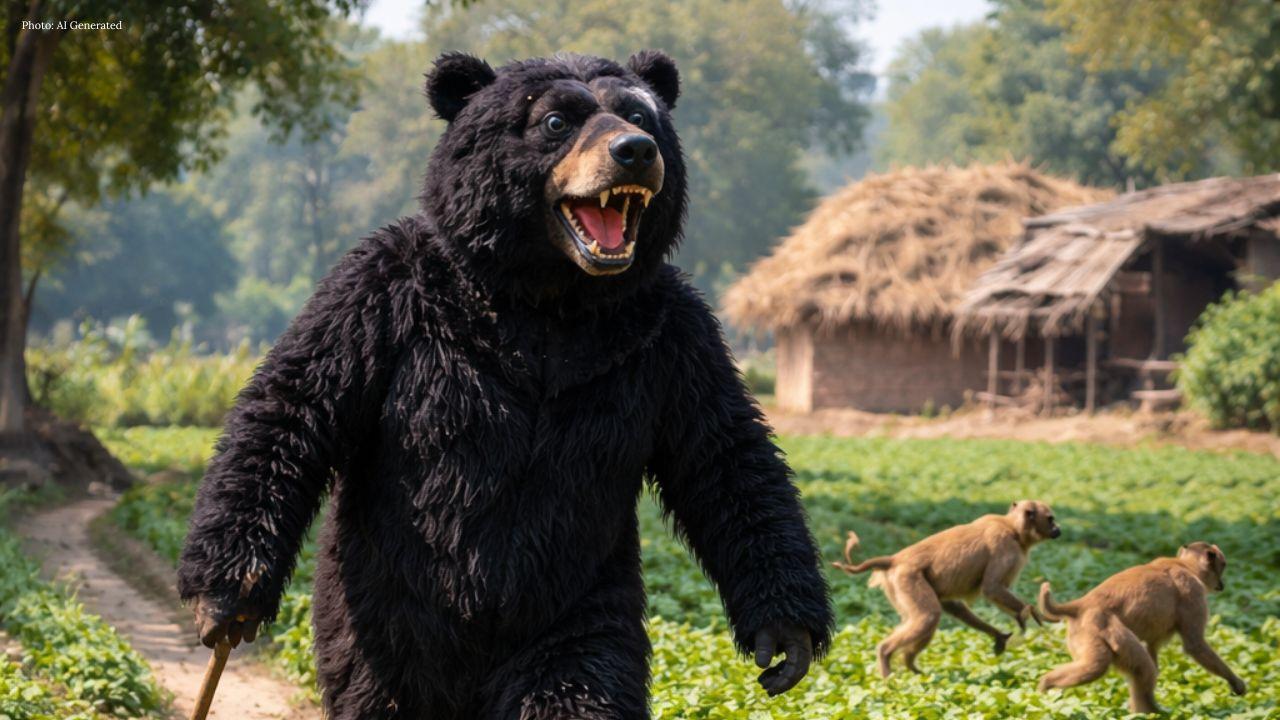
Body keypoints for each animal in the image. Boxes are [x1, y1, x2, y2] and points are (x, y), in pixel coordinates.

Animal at [178, 50, 833, 719]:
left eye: (641, 114)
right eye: (555, 121)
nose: (635, 150)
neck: (551, 294)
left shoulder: (668, 336)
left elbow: (723, 457)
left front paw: (786, 639)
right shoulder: (384, 294)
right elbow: (298, 403)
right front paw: (226, 601)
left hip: (571, 590)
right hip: (381, 603)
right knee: (378, 689)